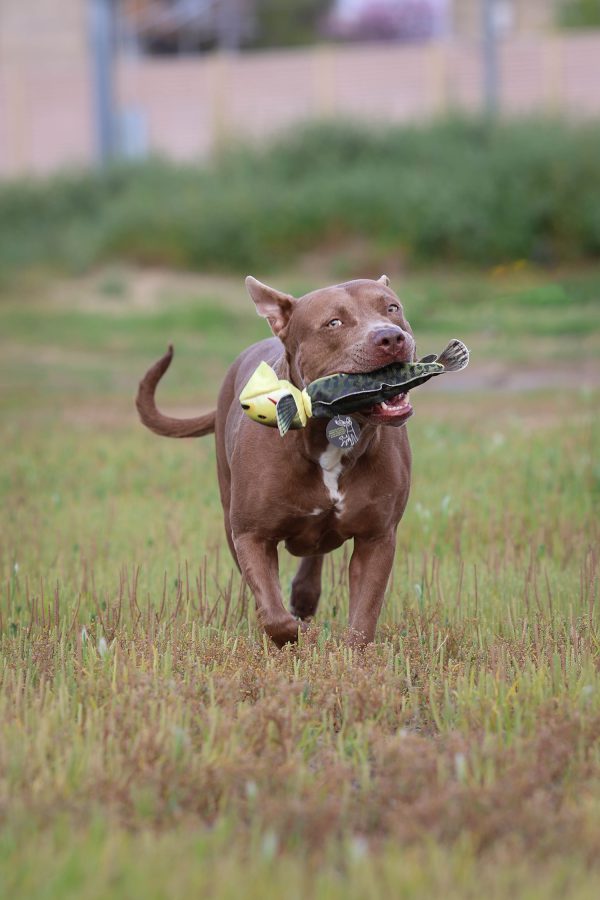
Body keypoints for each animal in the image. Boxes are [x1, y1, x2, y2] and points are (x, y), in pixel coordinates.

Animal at [138, 276, 414, 648]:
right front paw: (303, 636)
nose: (390, 337)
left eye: (392, 308)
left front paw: (351, 653)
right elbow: (274, 615)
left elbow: (364, 616)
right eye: (334, 323)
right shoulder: (251, 536)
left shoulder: (377, 537)